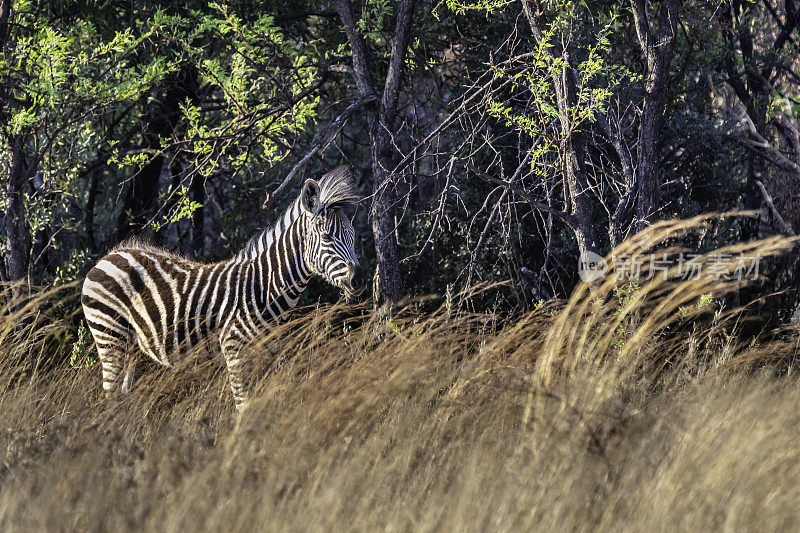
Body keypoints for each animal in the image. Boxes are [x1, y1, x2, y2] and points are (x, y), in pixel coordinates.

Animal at [82, 166, 366, 408]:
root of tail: (110, 255)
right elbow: (243, 405)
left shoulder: (274, 349)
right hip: (110, 336)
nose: (358, 282)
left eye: (353, 237)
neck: (266, 287)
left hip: (133, 347)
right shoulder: (233, 347)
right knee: (109, 397)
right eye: (327, 237)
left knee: (123, 397)